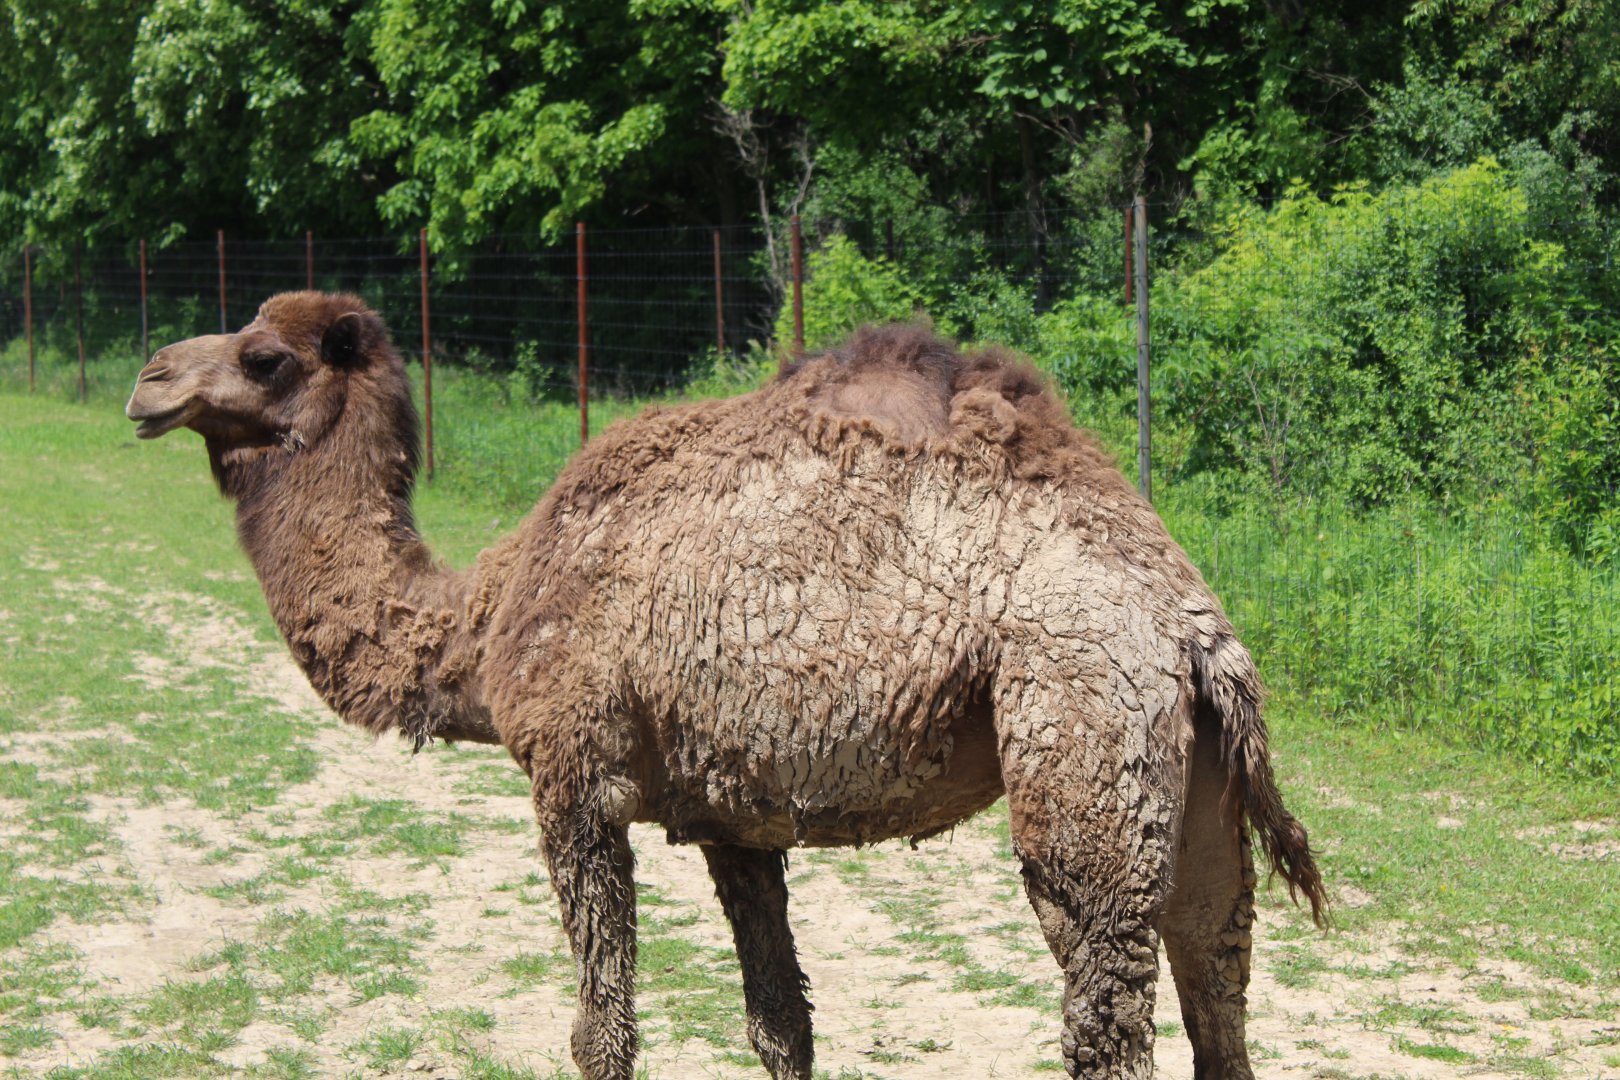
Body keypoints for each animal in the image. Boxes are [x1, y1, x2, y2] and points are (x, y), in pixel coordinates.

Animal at [125, 291, 1326, 1079]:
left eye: (264, 357)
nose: (148, 380)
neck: (487, 619)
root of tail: (1188, 621)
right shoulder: (734, 815)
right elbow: (779, 1023)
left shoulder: (575, 775)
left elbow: (602, 1032)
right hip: (1190, 773)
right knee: (1216, 975)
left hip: (1079, 720)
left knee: (1104, 1003)